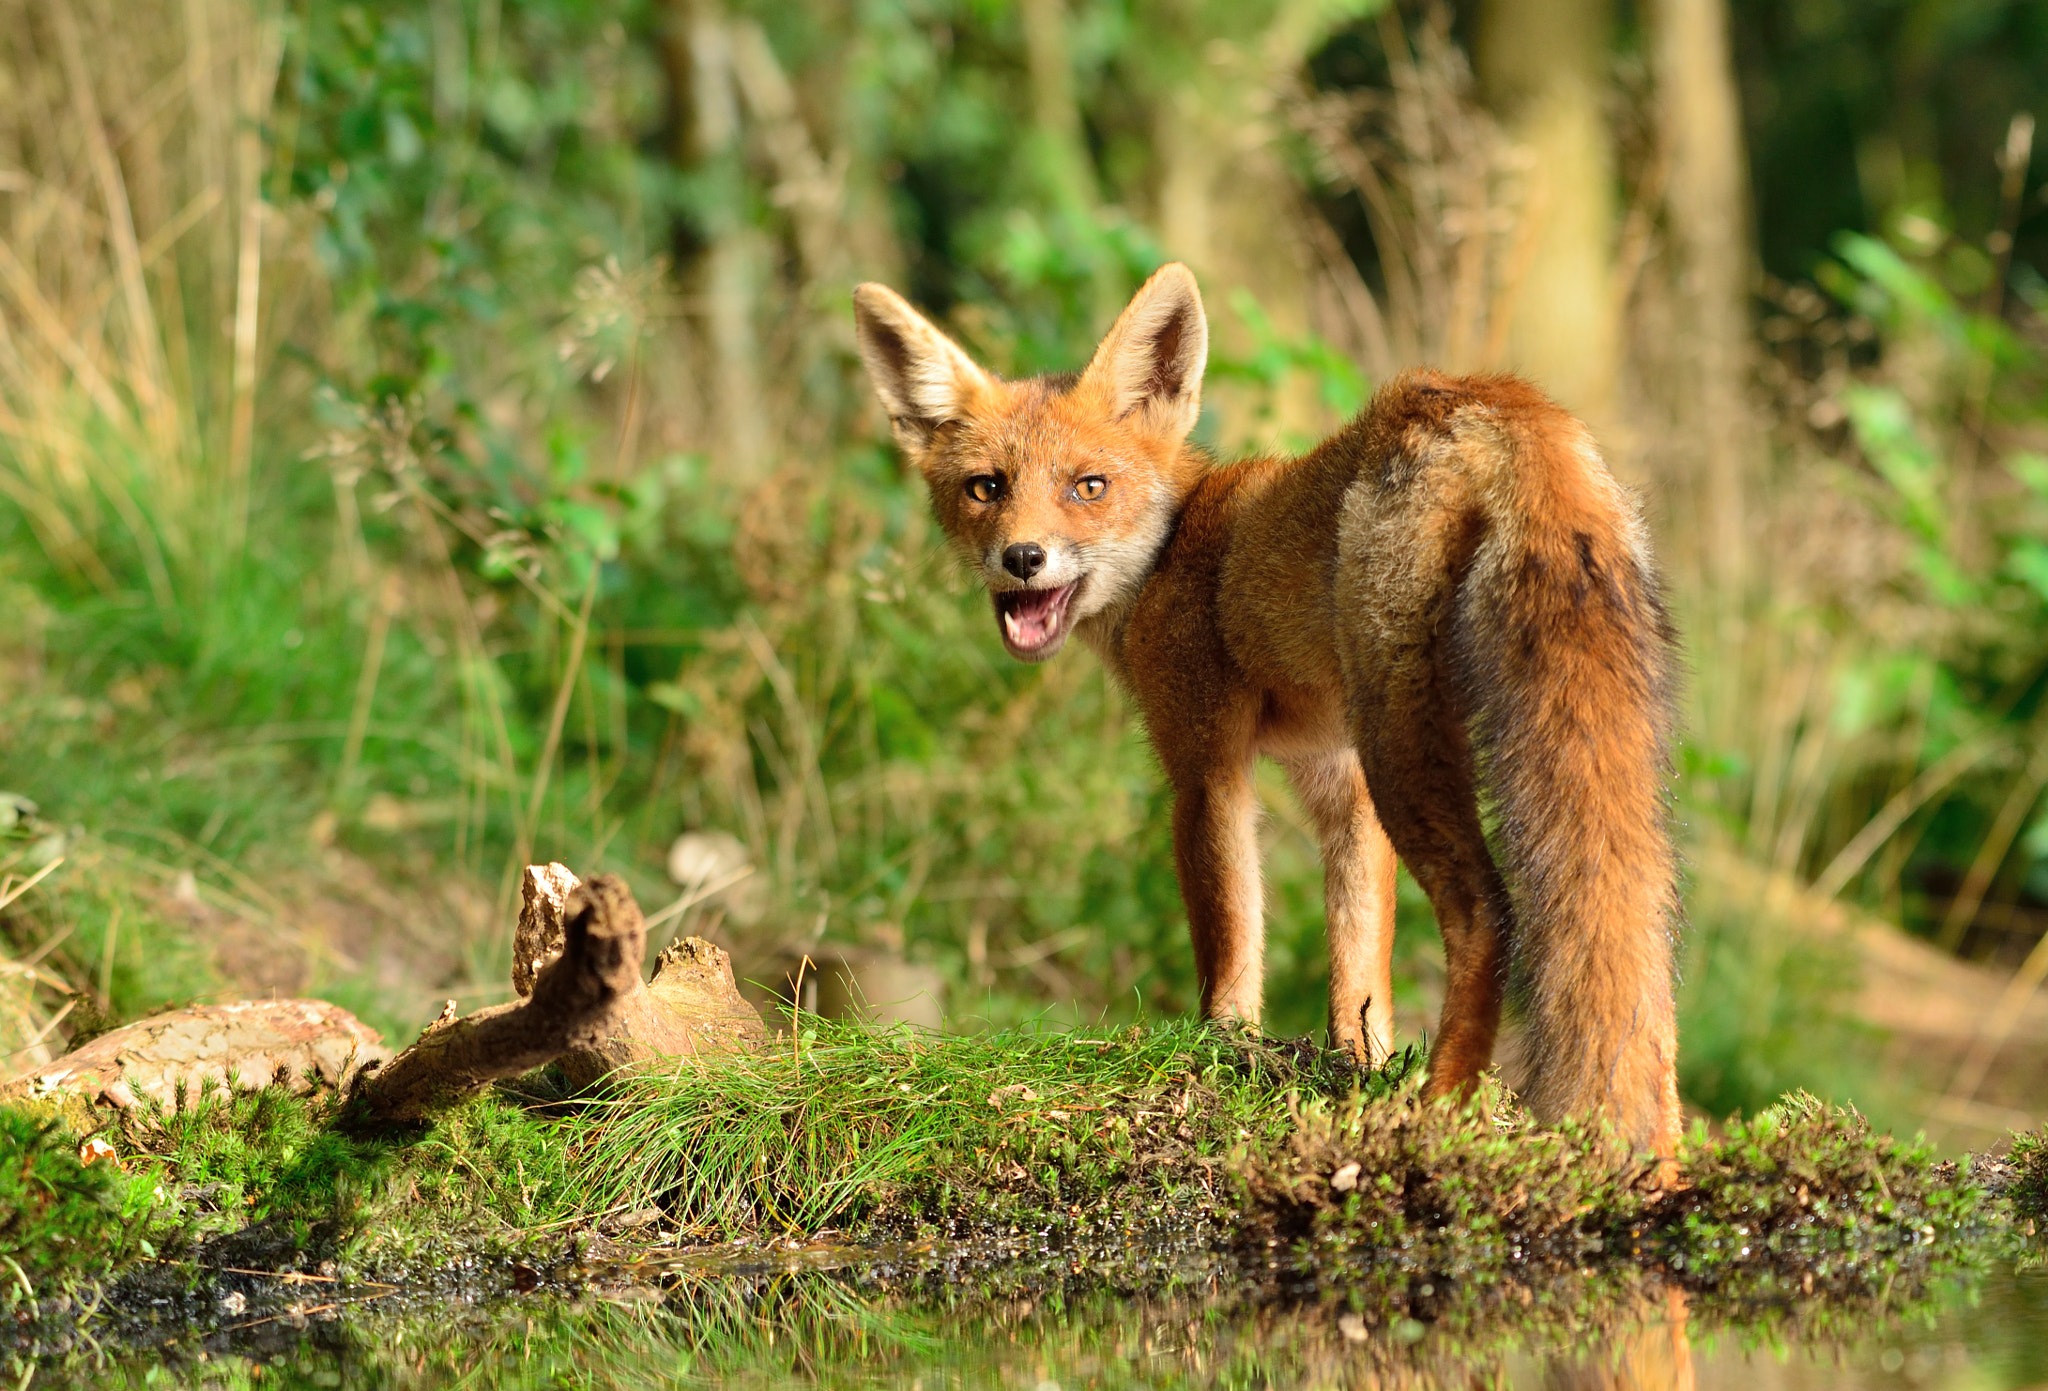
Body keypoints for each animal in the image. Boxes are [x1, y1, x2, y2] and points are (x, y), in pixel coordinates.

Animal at [851, 263, 1681, 1155]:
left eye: (1088, 486)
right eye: (986, 488)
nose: (1022, 557)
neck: (1174, 551)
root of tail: (1490, 396)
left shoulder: (1205, 766)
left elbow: (1228, 930)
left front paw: (1226, 1043)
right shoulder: (1337, 776)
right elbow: (1358, 957)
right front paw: (1359, 1060)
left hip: (1399, 734)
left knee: (1487, 910)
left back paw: (1439, 1105)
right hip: (1597, 734)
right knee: (1639, 935)